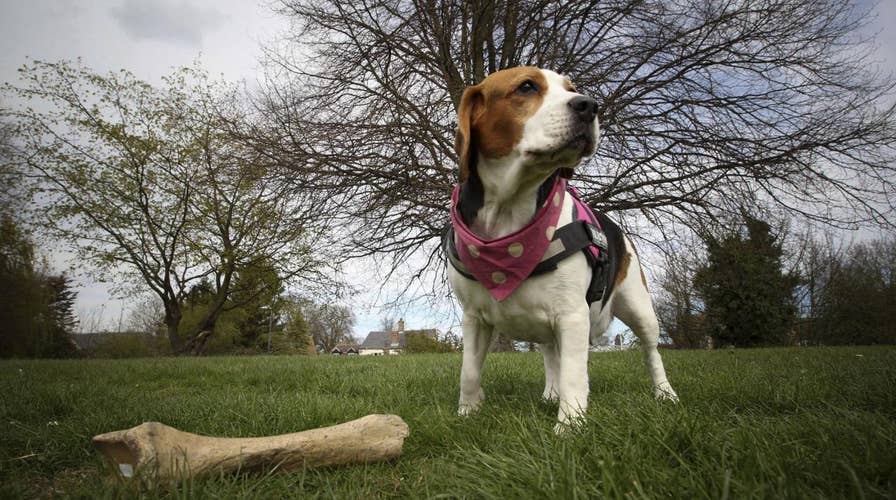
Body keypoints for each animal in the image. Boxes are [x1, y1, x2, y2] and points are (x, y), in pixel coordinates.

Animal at [448, 65, 680, 430]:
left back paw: (665, 394)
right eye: (526, 87)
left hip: (640, 309)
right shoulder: (474, 318)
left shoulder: (572, 316)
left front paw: (569, 427)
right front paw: (468, 414)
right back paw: (550, 393)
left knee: (651, 353)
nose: (590, 105)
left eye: (572, 89)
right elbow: (469, 373)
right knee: (551, 357)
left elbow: (574, 374)